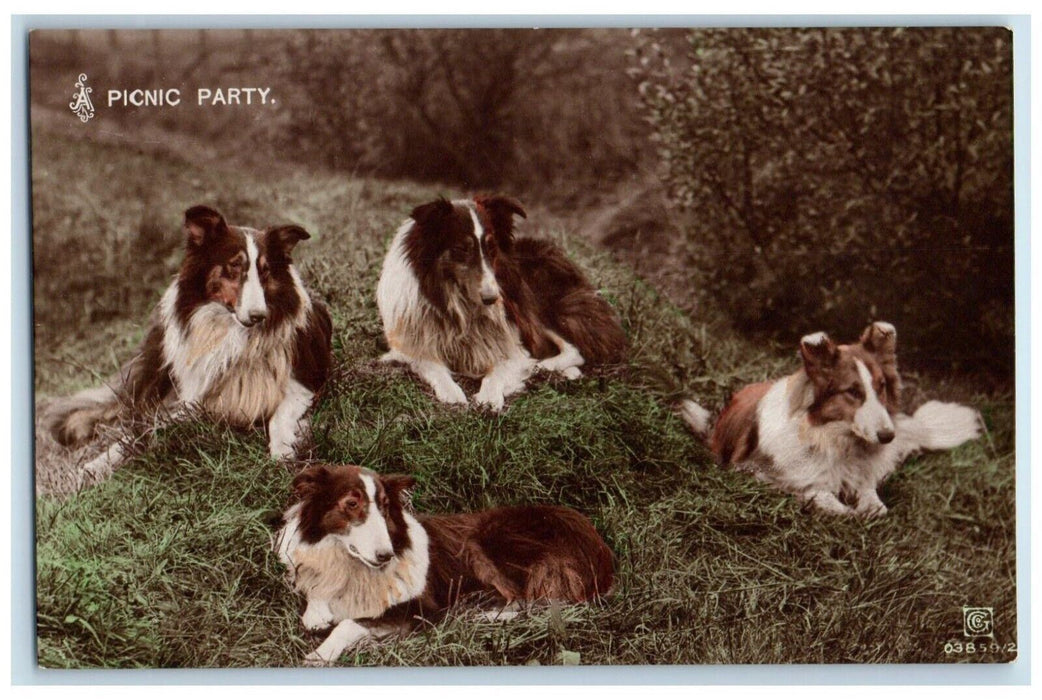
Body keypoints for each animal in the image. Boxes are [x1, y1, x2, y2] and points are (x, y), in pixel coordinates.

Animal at [42, 204, 329, 481]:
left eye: (265, 270)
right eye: (234, 266)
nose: (259, 316)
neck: (233, 335)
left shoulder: (302, 384)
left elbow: (279, 421)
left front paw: (283, 455)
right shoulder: (192, 400)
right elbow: (142, 431)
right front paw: (96, 465)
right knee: (121, 403)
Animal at [277, 462, 612, 662]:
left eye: (385, 507)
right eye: (351, 503)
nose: (386, 556)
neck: (348, 562)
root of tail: (598, 543)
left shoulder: (419, 611)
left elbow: (349, 623)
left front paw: (319, 655)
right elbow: (316, 593)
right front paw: (317, 614)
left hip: (485, 540)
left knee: (526, 600)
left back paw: (479, 615)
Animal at [377, 193, 625, 410]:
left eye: (491, 248)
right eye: (461, 249)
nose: (492, 299)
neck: (453, 301)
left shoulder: (512, 342)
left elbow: (500, 370)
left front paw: (489, 398)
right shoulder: (411, 347)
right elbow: (433, 367)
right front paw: (452, 393)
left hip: (536, 307)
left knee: (574, 349)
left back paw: (542, 367)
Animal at [679, 320, 979, 514]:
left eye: (881, 386)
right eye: (852, 391)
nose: (888, 436)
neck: (836, 440)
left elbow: (874, 502)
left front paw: (870, 506)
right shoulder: (752, 471)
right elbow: (825, 499)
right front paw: (842, 508)